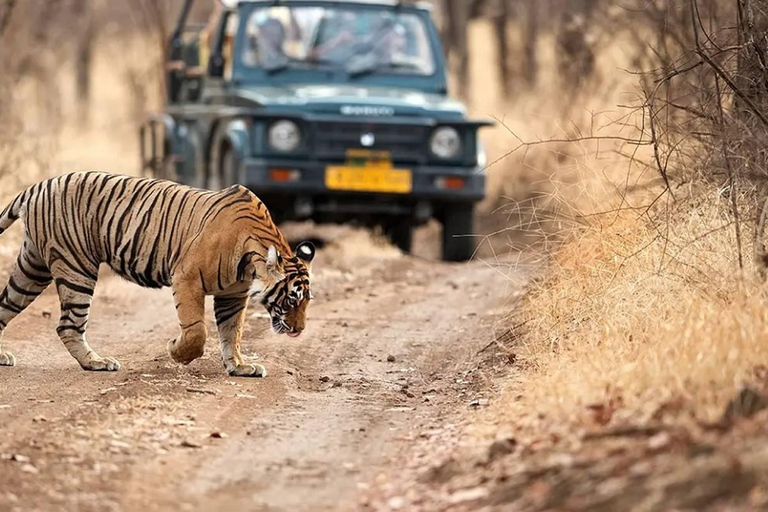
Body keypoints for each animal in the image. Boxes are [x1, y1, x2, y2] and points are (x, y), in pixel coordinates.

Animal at [0, 172, 316, 376]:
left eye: (307, 302)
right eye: (292, 299)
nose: (300, 330)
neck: (250, 261)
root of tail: (39, 185)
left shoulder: (234, 296)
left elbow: (232, 332)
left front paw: (239, 366)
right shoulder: (187, 278)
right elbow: (197, 331)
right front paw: (176, 351)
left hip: (33, 268)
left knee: (5, 305)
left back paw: (2, 356)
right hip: (76, 267)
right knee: (68, 325)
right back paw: (97, 363)